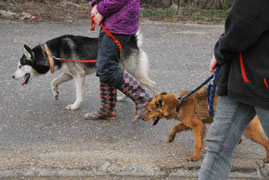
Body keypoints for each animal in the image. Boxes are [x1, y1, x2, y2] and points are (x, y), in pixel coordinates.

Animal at [12, 33, 157, 110]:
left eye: (20, 66)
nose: (12, 76)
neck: (50, 54)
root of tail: (133, 40)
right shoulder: (68, 74)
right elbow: (53, 82)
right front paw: (55, 93)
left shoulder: (79, 76)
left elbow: (79, 94)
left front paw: (75, 106)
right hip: (122, 70)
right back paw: (123, 98)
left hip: (134, 71)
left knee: (153, 85)